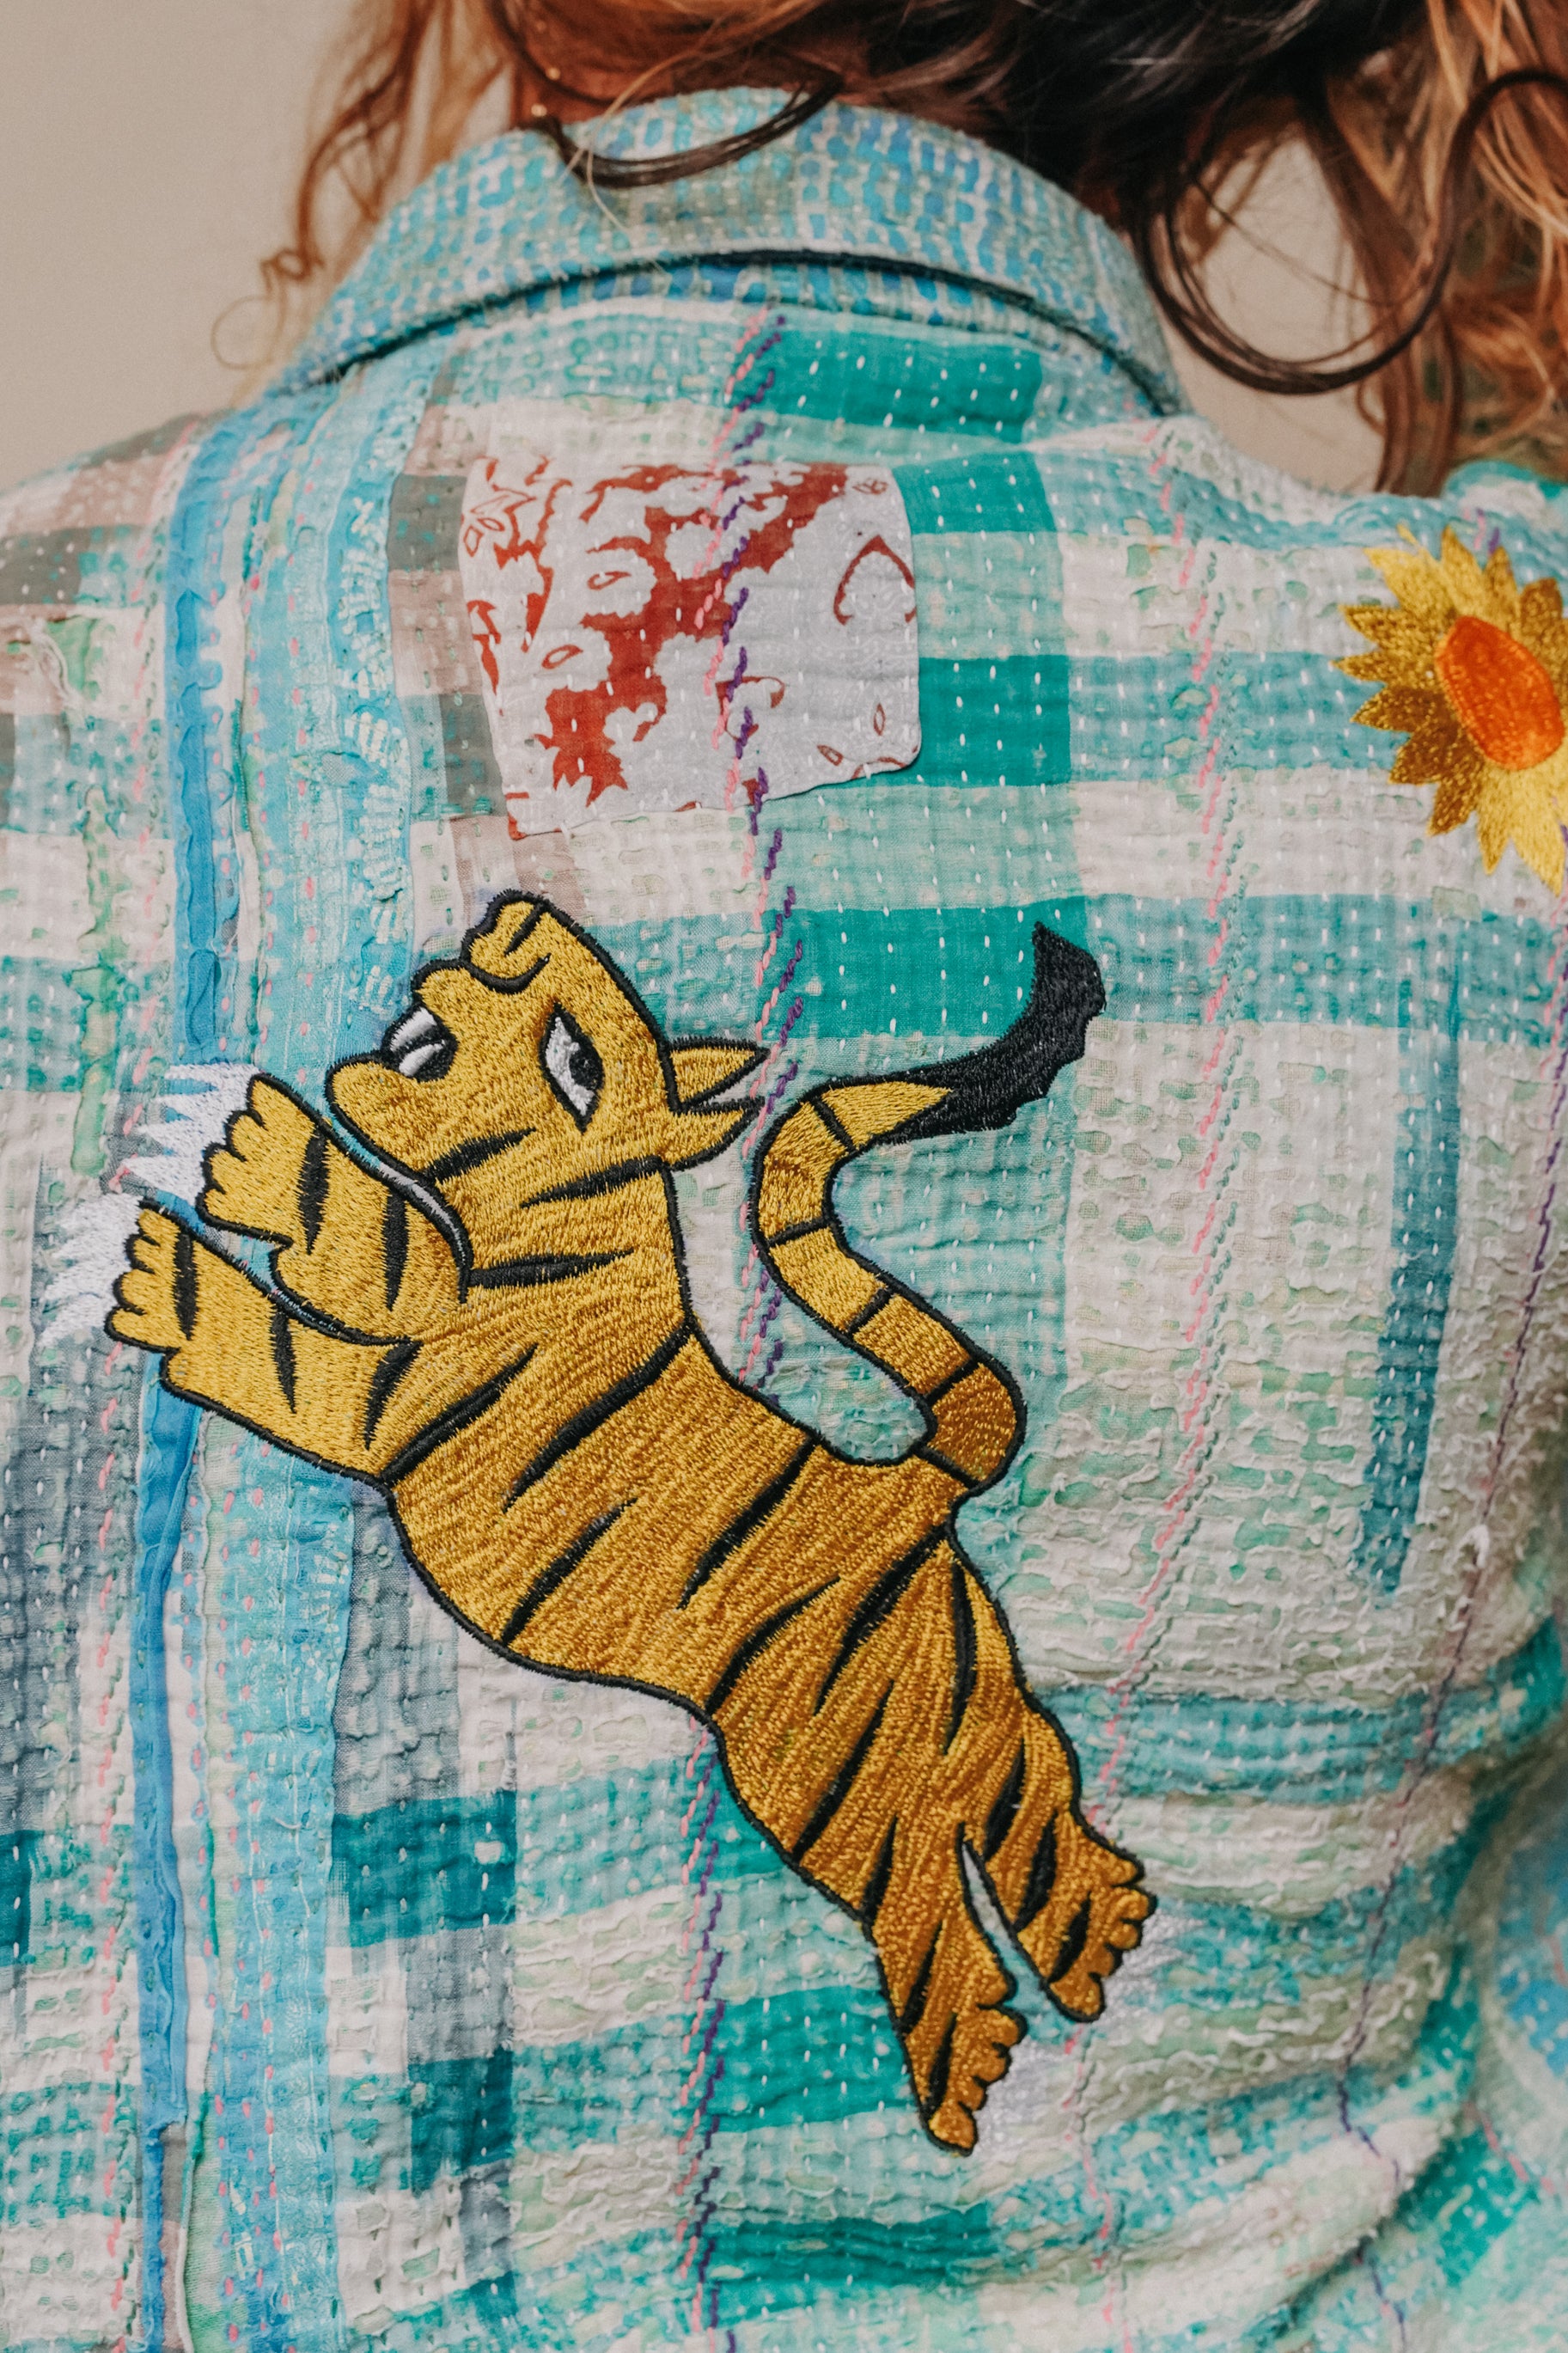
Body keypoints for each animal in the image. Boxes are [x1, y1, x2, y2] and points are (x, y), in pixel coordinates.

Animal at [108, 892, 1151, 2153]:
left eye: (577, 1060)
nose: (517, 912)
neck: (575, 1243)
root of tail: (906, 1486)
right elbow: (361, 1241)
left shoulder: (389, 1392)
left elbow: (320, 1296)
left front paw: (209, 1212)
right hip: (969, 1706)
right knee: (1034, 1793)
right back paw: (1101, 1935)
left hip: (824, 1770)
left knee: (924, 1897)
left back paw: (961, 2065)